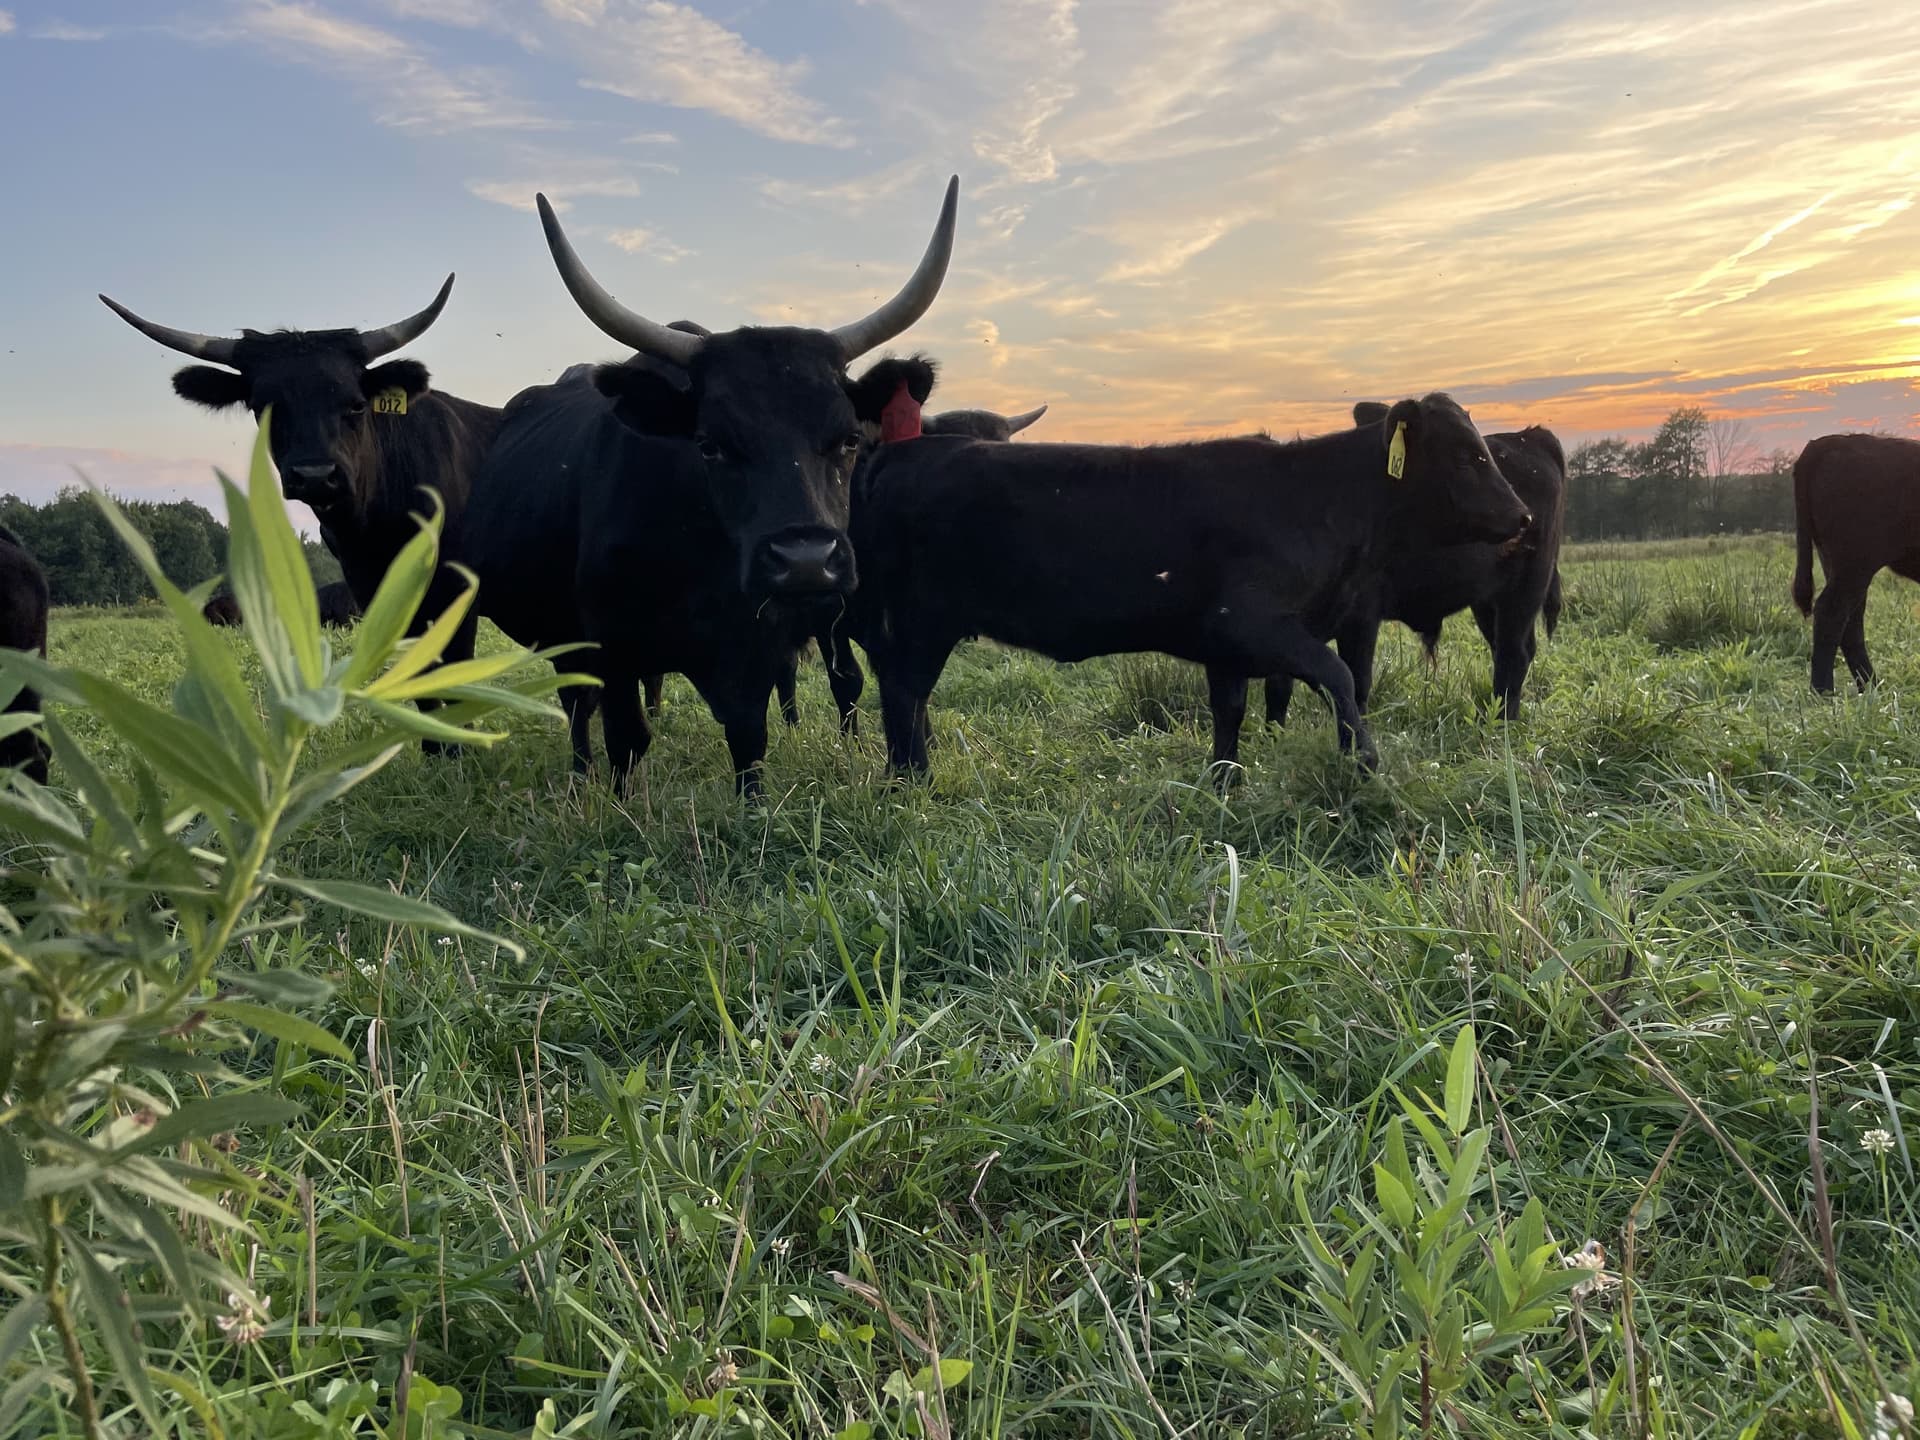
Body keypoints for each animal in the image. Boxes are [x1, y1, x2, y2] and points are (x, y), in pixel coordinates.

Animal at [442, 176, 960, 792]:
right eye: (710, 443)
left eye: (849, 439)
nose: (806, 561)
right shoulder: (611, 643)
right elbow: (626, 740)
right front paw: (620, 803)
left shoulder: (757, 646)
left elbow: (749, 740)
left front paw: (753, 807)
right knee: (576, 707)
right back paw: (579, 777)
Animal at [846, 394, 1532, 780]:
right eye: (1469, 454)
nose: (1522, 516)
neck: (1315, 497)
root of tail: (904, 454)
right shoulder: (1253, 622)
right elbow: (1339, 678)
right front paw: (1362, 764)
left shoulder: (1226, 648)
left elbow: (1229, 716)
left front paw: (1225, 785)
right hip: (922, 622)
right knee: (903, 695)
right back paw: (912, 783)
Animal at [1264, 401, 1567, 726]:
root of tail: (1529, 436)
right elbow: (1278, 687)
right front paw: (1274, 734)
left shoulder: (1361, 617)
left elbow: (1356, 686)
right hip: (1486, 598)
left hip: (1525, 588)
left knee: (1515, 653)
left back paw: (1501, 725)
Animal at [1792, 433, 1920, 692]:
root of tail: (1836, 440)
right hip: (1855, 566)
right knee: (1832, 614)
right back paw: (1824, 691)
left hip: (1839, 566)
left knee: (1851, 623)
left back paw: (1872, 687)